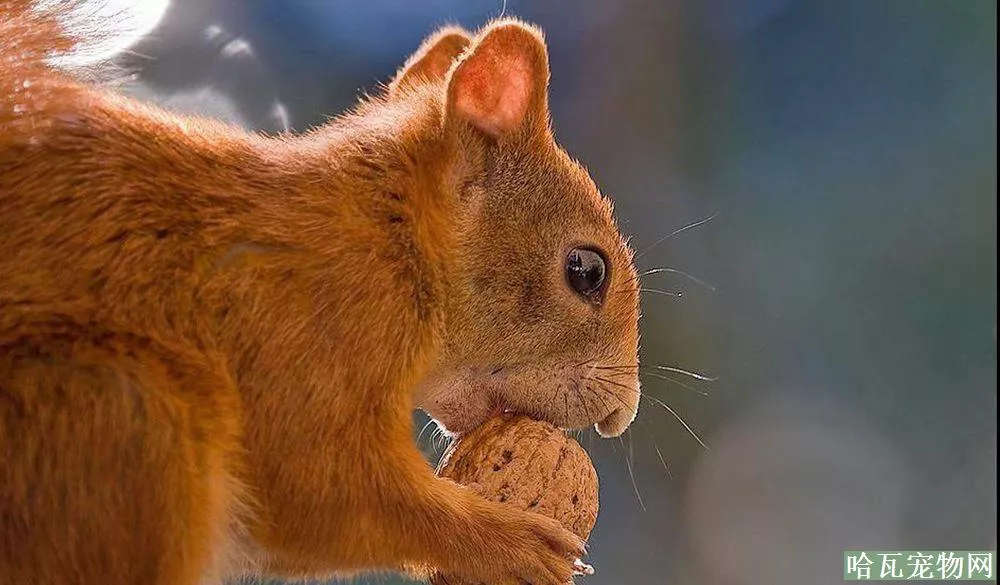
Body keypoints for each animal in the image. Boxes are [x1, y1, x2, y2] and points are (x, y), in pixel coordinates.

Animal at [0, 2, 640, 580]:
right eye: (587, 270)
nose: (621, 414)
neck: (392, 234)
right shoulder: (310, 323)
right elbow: (317, 487)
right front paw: (509, 542)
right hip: (126, 418)